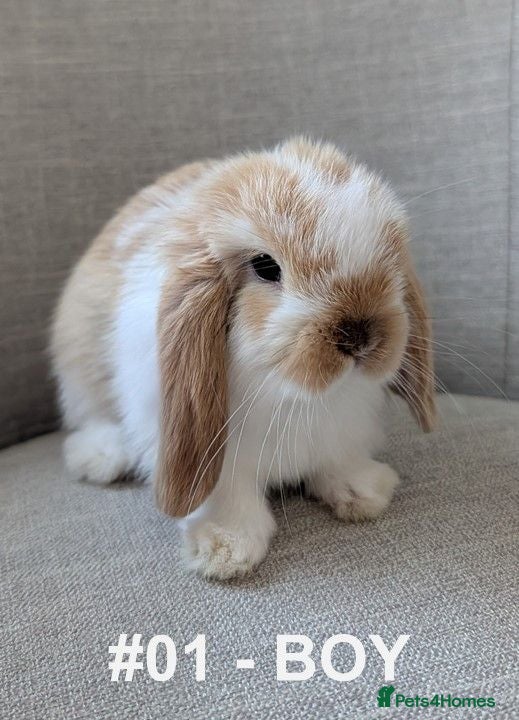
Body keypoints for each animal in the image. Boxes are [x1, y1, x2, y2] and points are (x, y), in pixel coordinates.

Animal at [51, 137, 436, 580]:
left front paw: (365, 492)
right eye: (265, 266)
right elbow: (230, 499)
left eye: (389, 256)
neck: (291, 395)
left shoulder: (342, 433)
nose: (360, 336)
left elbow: (338, 462)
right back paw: (101, 457)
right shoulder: (215, 457)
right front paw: (225, 550)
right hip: (82, 374)